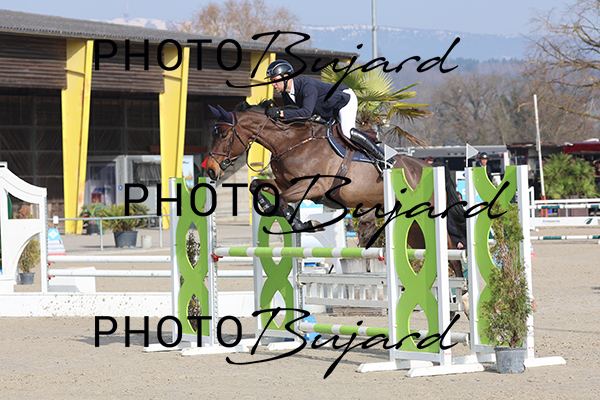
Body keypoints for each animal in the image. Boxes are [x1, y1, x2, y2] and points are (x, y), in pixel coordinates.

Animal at [205, 100, 467, 277]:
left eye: (224, 134)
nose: (210, 170)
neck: (291, 142)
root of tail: (428, 166)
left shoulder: (313, 186)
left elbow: (284, 200)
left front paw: (304, 223)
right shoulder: (287, 183)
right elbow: (258, 186)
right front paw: (291, 217)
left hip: (428, 216)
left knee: (450, 251)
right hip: (411, 224)